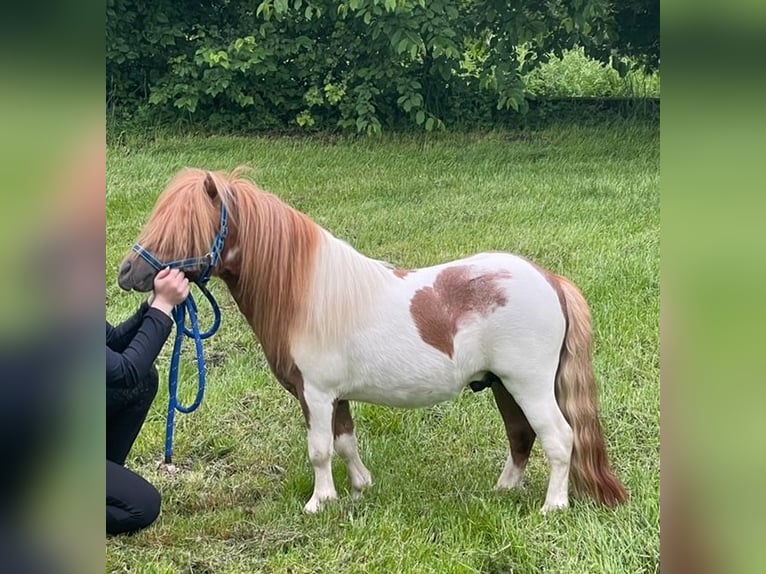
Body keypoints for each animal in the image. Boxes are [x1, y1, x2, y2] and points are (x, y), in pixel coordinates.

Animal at [117, 169, 628, 516]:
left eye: (184, 226)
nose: (127, 273)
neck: (307, 294)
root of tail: (550, 280)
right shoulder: (335, 396)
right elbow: (345, 442)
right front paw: (360, 488)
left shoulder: (316, 394)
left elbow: (321, 448)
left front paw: (319, 502)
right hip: (504, 385)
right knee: (522, 435)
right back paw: (504, 490)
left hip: (529, 385)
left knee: (559, 437)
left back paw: (553, 507)